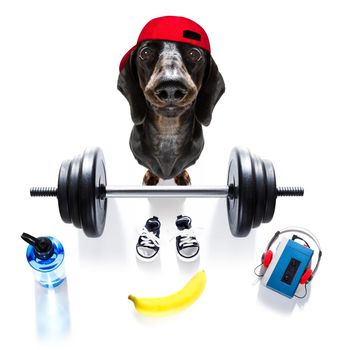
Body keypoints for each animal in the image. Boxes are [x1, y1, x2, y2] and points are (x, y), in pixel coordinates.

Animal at [117, 21, 224, 186]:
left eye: (194, 54)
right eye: (145, 53)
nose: (171, 88)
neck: (168, 133)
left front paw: (182, 176)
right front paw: (151, 176)